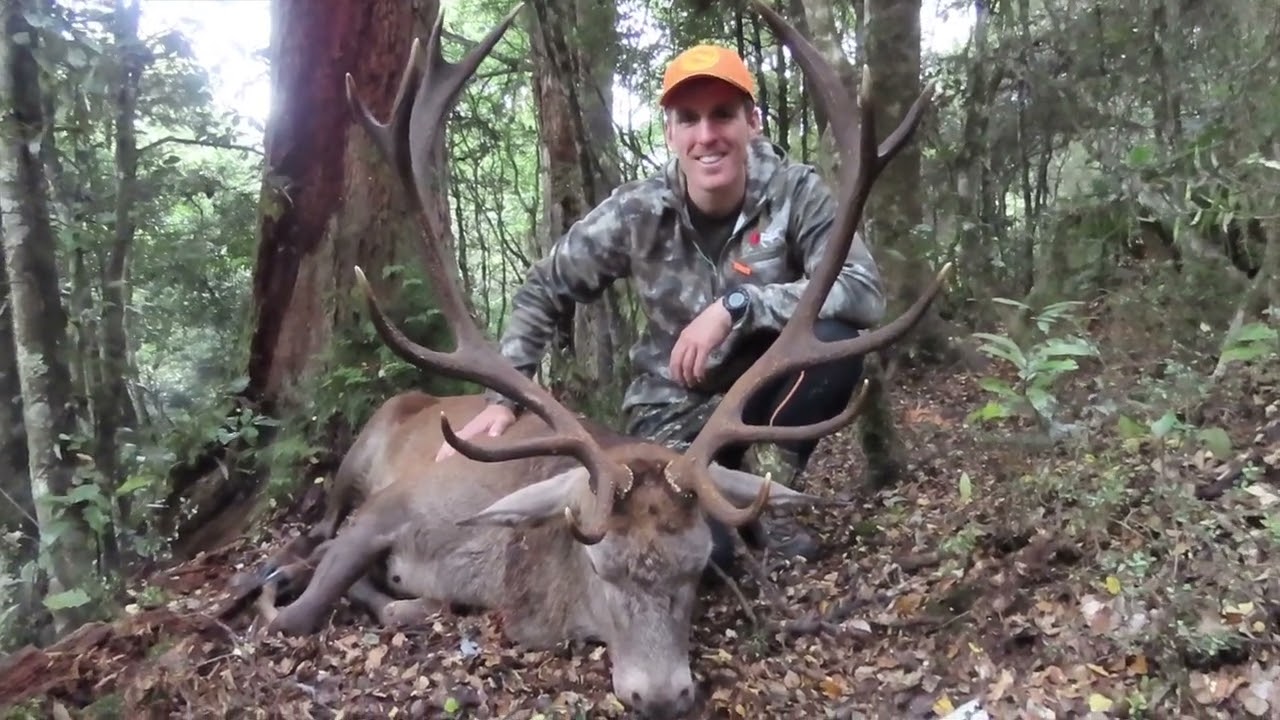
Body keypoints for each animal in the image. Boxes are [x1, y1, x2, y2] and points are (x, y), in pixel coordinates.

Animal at [231, 2, 949, 717]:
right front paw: (290, 587)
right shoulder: (393, 506)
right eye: (600, 565)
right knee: (319, 524)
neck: (503, 574)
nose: (662, 695)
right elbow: (298, 613)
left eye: (698, 568)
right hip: (360, 454)